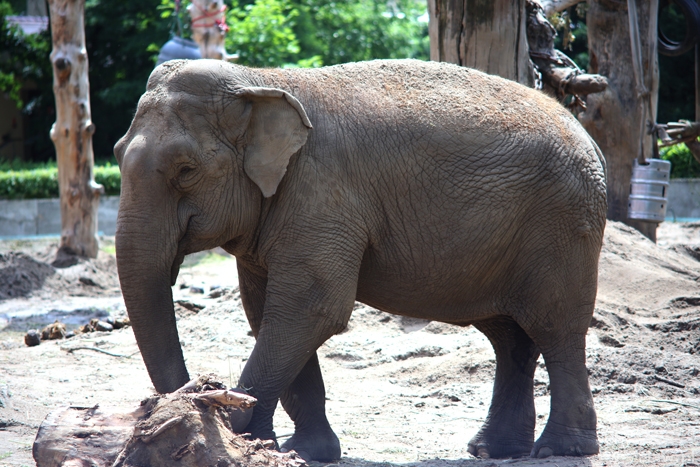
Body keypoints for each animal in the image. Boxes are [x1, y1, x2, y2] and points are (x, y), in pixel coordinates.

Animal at [115, 57, 608, 460]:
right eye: (117, 154)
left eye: (186, 170)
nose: (202, 392)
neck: (261, 80)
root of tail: (588, 137)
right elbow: (266, 311)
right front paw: (300, 451)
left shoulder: (323, 193)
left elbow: (310, 308)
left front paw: (243, 434)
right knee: (509, 337)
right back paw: (494, 450)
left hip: (564, 225)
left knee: (555, 327)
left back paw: (560, 450)